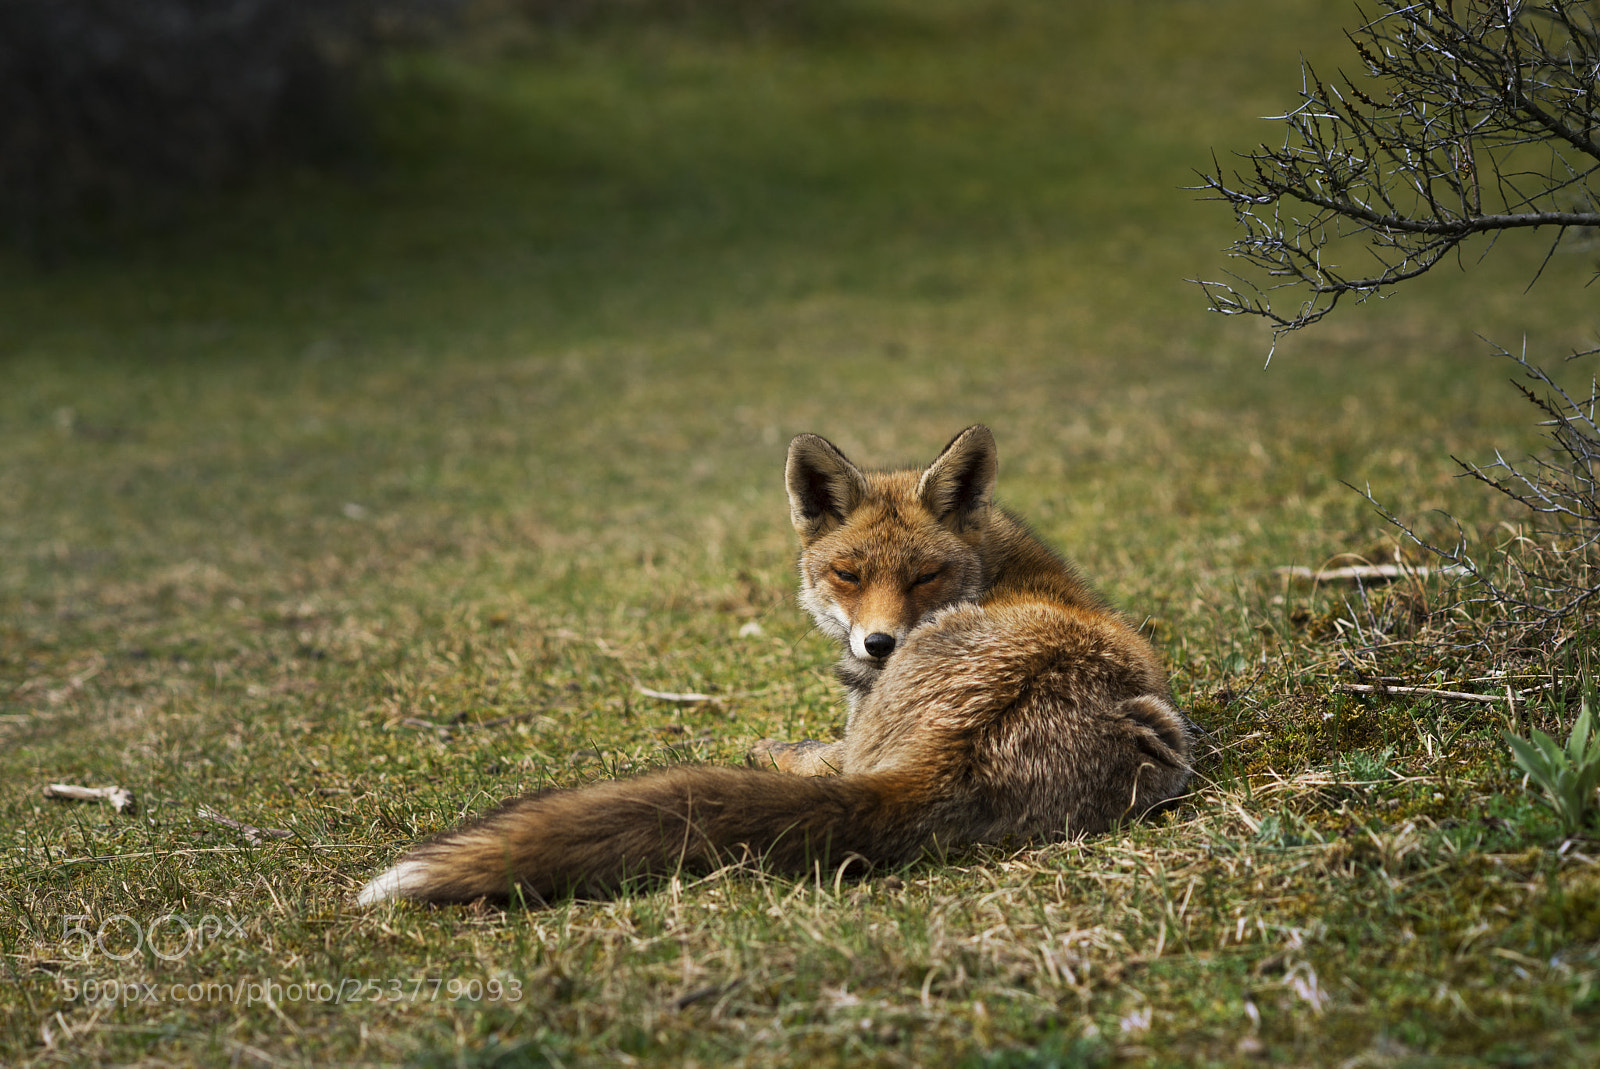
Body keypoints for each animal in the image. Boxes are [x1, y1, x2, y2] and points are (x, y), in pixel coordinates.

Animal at [356, 425, 1192, 906]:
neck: (1001, 569)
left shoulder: (850, 725)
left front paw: (772, 746)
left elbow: (813, 750)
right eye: (848, 573)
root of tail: (944, 762)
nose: (879, 646)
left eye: (924, 575)